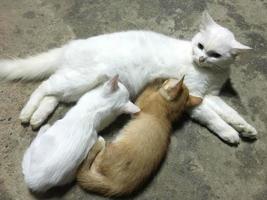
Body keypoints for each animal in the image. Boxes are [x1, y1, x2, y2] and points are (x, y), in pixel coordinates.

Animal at [0, 12, 258, 144]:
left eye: (215, 55)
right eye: (200, 46)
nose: (202, 58)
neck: (211, 74)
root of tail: (71, 45)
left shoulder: (211, 95)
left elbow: (229, 112)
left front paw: (245, 128)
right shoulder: (195, 96)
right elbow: (213, 117)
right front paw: (230, 133)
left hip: (77, 85)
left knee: (53, 94)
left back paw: (37, 117)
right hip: (80, 79)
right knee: (45, 86)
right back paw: (27, 114)